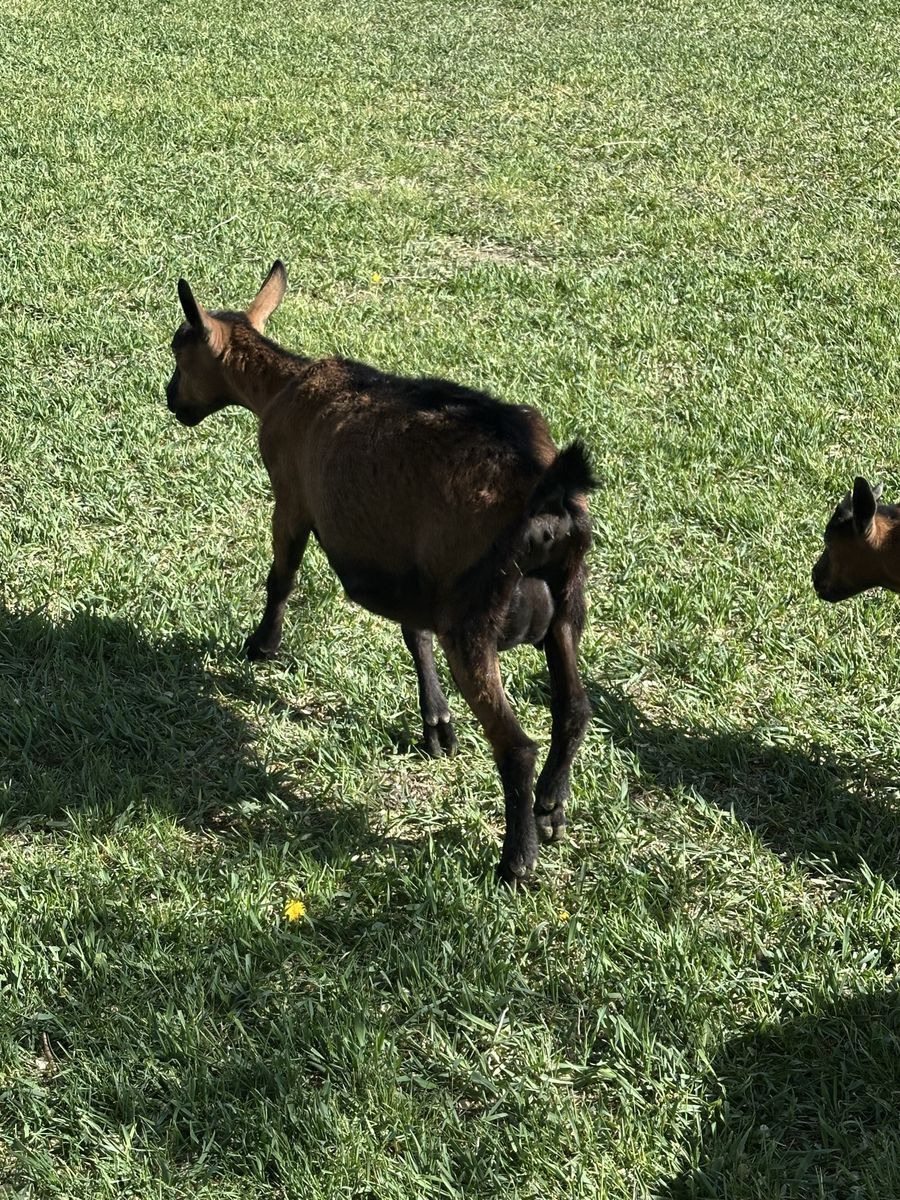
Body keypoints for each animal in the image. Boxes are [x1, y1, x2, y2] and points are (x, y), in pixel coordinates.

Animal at [165, 261, 596, 883]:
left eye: (179, 351)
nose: (169, 398)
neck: (286, 385)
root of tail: (547, 494)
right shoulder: (408, 568)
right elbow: (413, 633)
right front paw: (435, 724)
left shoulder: (292, 498)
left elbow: (282, 576)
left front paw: (261, 645)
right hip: (565, 606)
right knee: (575, 709)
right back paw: (552, 807)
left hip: (473, 618)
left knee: (516, 745)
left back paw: (516, 860)